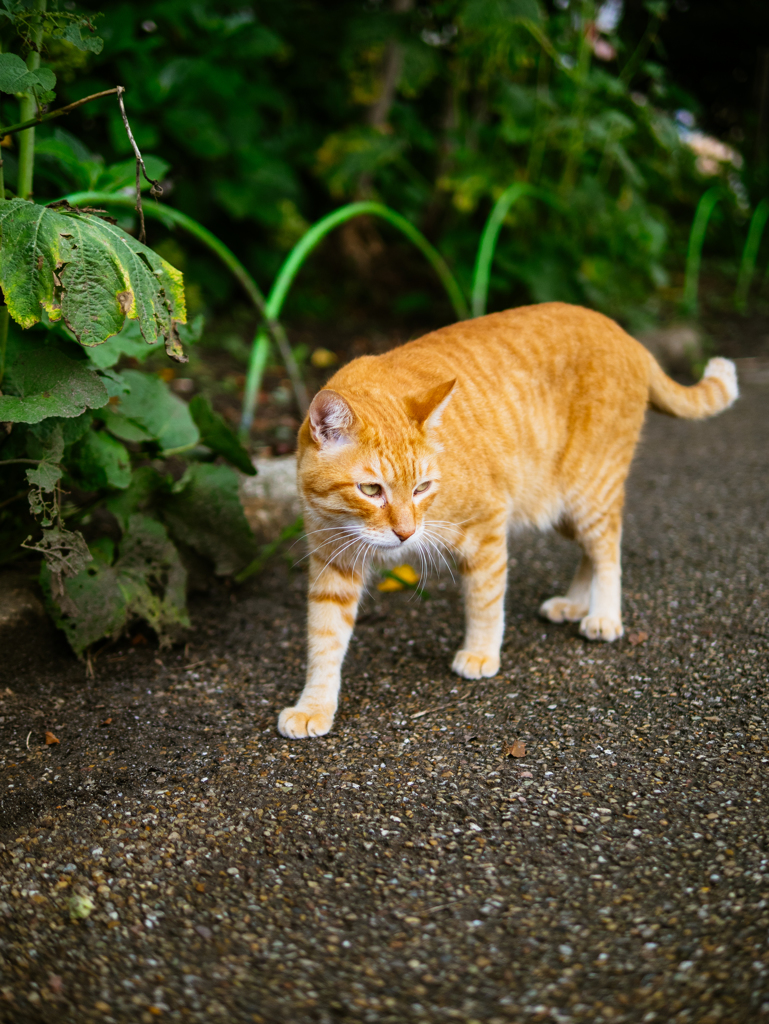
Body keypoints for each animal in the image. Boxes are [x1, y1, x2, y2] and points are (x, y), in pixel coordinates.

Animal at [278, 299, 741, 741]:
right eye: (371, 490)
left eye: (422, 488)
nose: (405, 533)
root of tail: (624, 333)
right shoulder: (333, 562)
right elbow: (324, 639)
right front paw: (314, 706)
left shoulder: (486, 527)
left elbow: (484, 600)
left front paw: (482, 652)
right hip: (558, 506)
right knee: (592, 551)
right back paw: (575, 602)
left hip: (588, 491)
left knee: (608, 547)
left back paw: (603, 615)